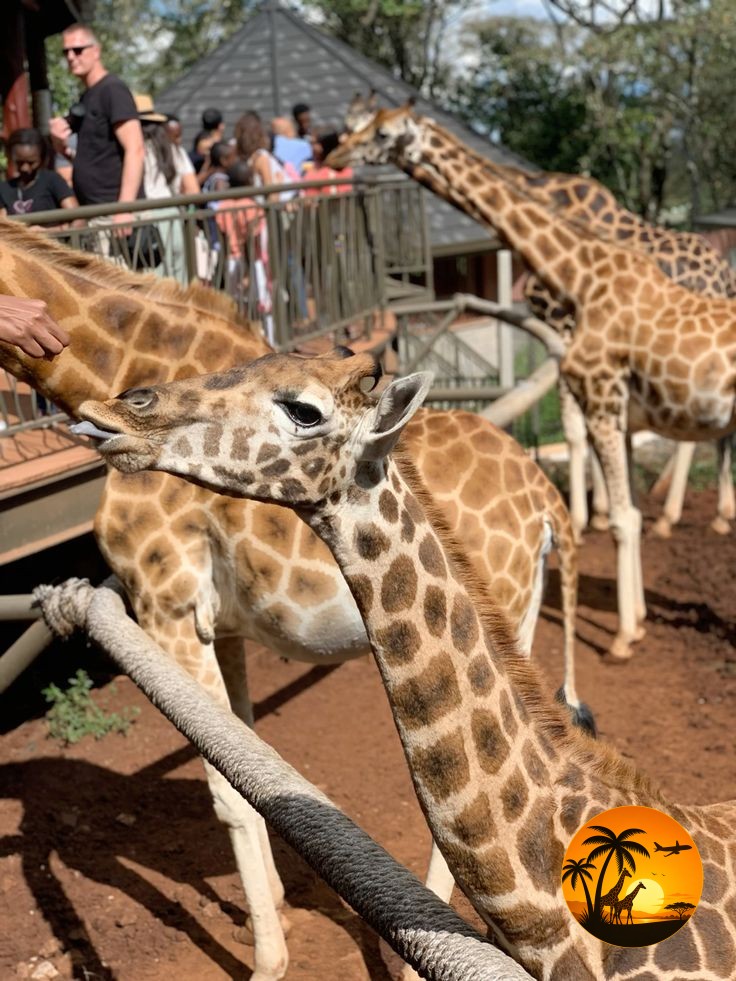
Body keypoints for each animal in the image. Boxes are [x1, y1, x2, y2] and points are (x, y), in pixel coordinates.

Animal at [0, 218, 586, 978]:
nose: (113, 414)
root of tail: (546, 501)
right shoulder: (222, 625)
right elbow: (241, 751)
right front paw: (274, 902)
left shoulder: (165, 599)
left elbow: (226, 792)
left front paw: (266, 957)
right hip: (519, 612)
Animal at [325, 105, 736, 659]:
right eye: (358, 126)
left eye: (381, 132)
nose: (334, 156)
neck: (581, 278)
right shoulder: (617, 407)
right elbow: (628, 510)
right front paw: (639, 621)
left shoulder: (601, 395)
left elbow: (623, 517)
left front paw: (622, 637)